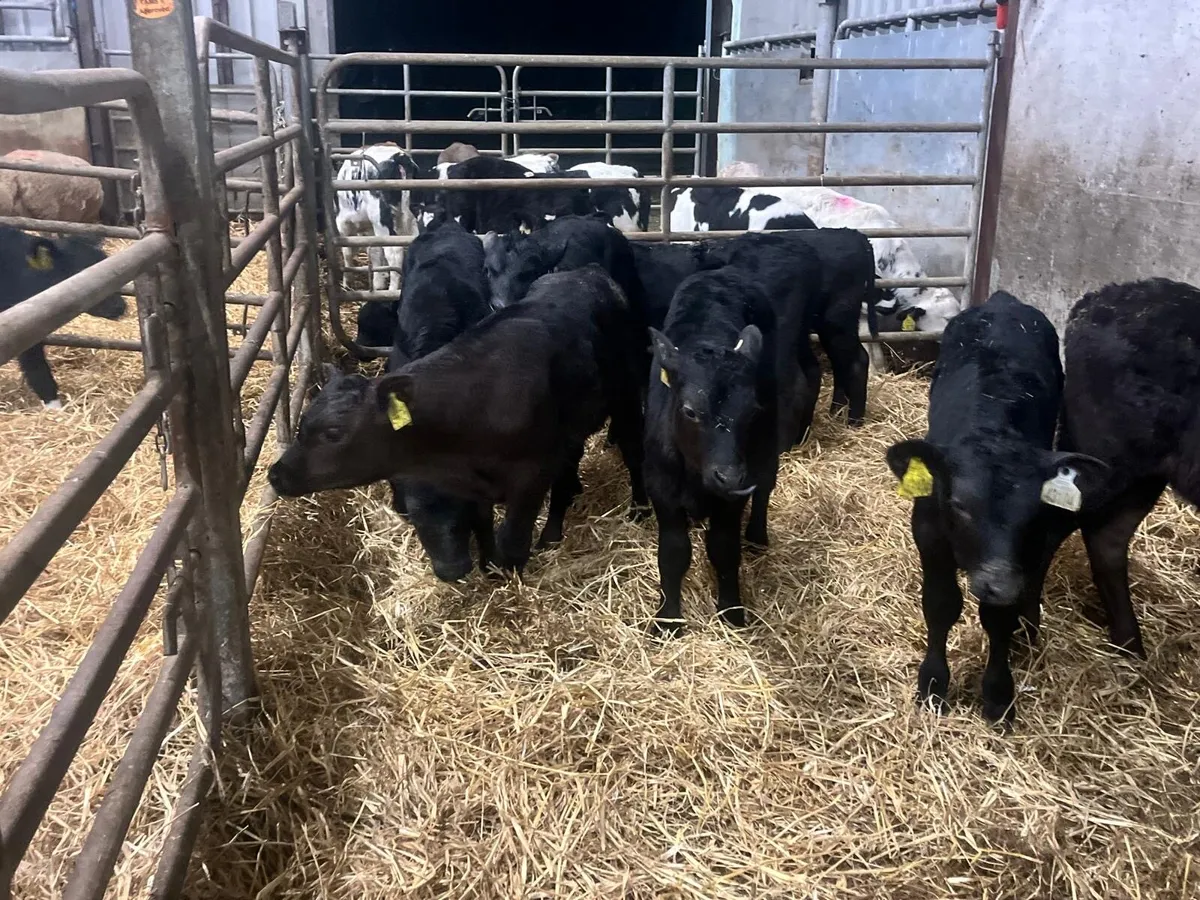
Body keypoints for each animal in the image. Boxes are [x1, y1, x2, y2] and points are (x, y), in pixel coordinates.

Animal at [268, 265, 645, 572]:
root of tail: (590, 273)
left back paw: (636, 510)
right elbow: (484, 529)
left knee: (633, 449)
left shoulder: (530, 476)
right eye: (301, 425)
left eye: (333, 432)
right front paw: (490, 567)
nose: (275, 474)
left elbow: (512, 541)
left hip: (626, 393)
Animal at [334, 143, 420, 292]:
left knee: (394, 252)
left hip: (381, 219)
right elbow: (374, 251)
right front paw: (379, 282)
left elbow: (347, 251)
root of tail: (398, 156)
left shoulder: (343, 224)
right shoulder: (370, 229)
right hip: (411, 217)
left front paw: (347, 282)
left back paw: (393, 289)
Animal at [646, 268, 784, 635]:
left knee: (766, 482)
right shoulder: (661, 487)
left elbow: (724, 549)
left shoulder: (733, 497)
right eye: (690, 410)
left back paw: (757, 533)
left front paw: (732, 612)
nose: (729, 476)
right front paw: (668, 619)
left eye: (752, 410)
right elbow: (673, 552)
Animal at [886, 291, 1109, 725]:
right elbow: (940, 605)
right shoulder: (929, 535)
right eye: (958, 504)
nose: (998, 584)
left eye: (1034, 511)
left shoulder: (1024, 554)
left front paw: (998, 694)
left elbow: (999, 617)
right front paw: (933, 685)